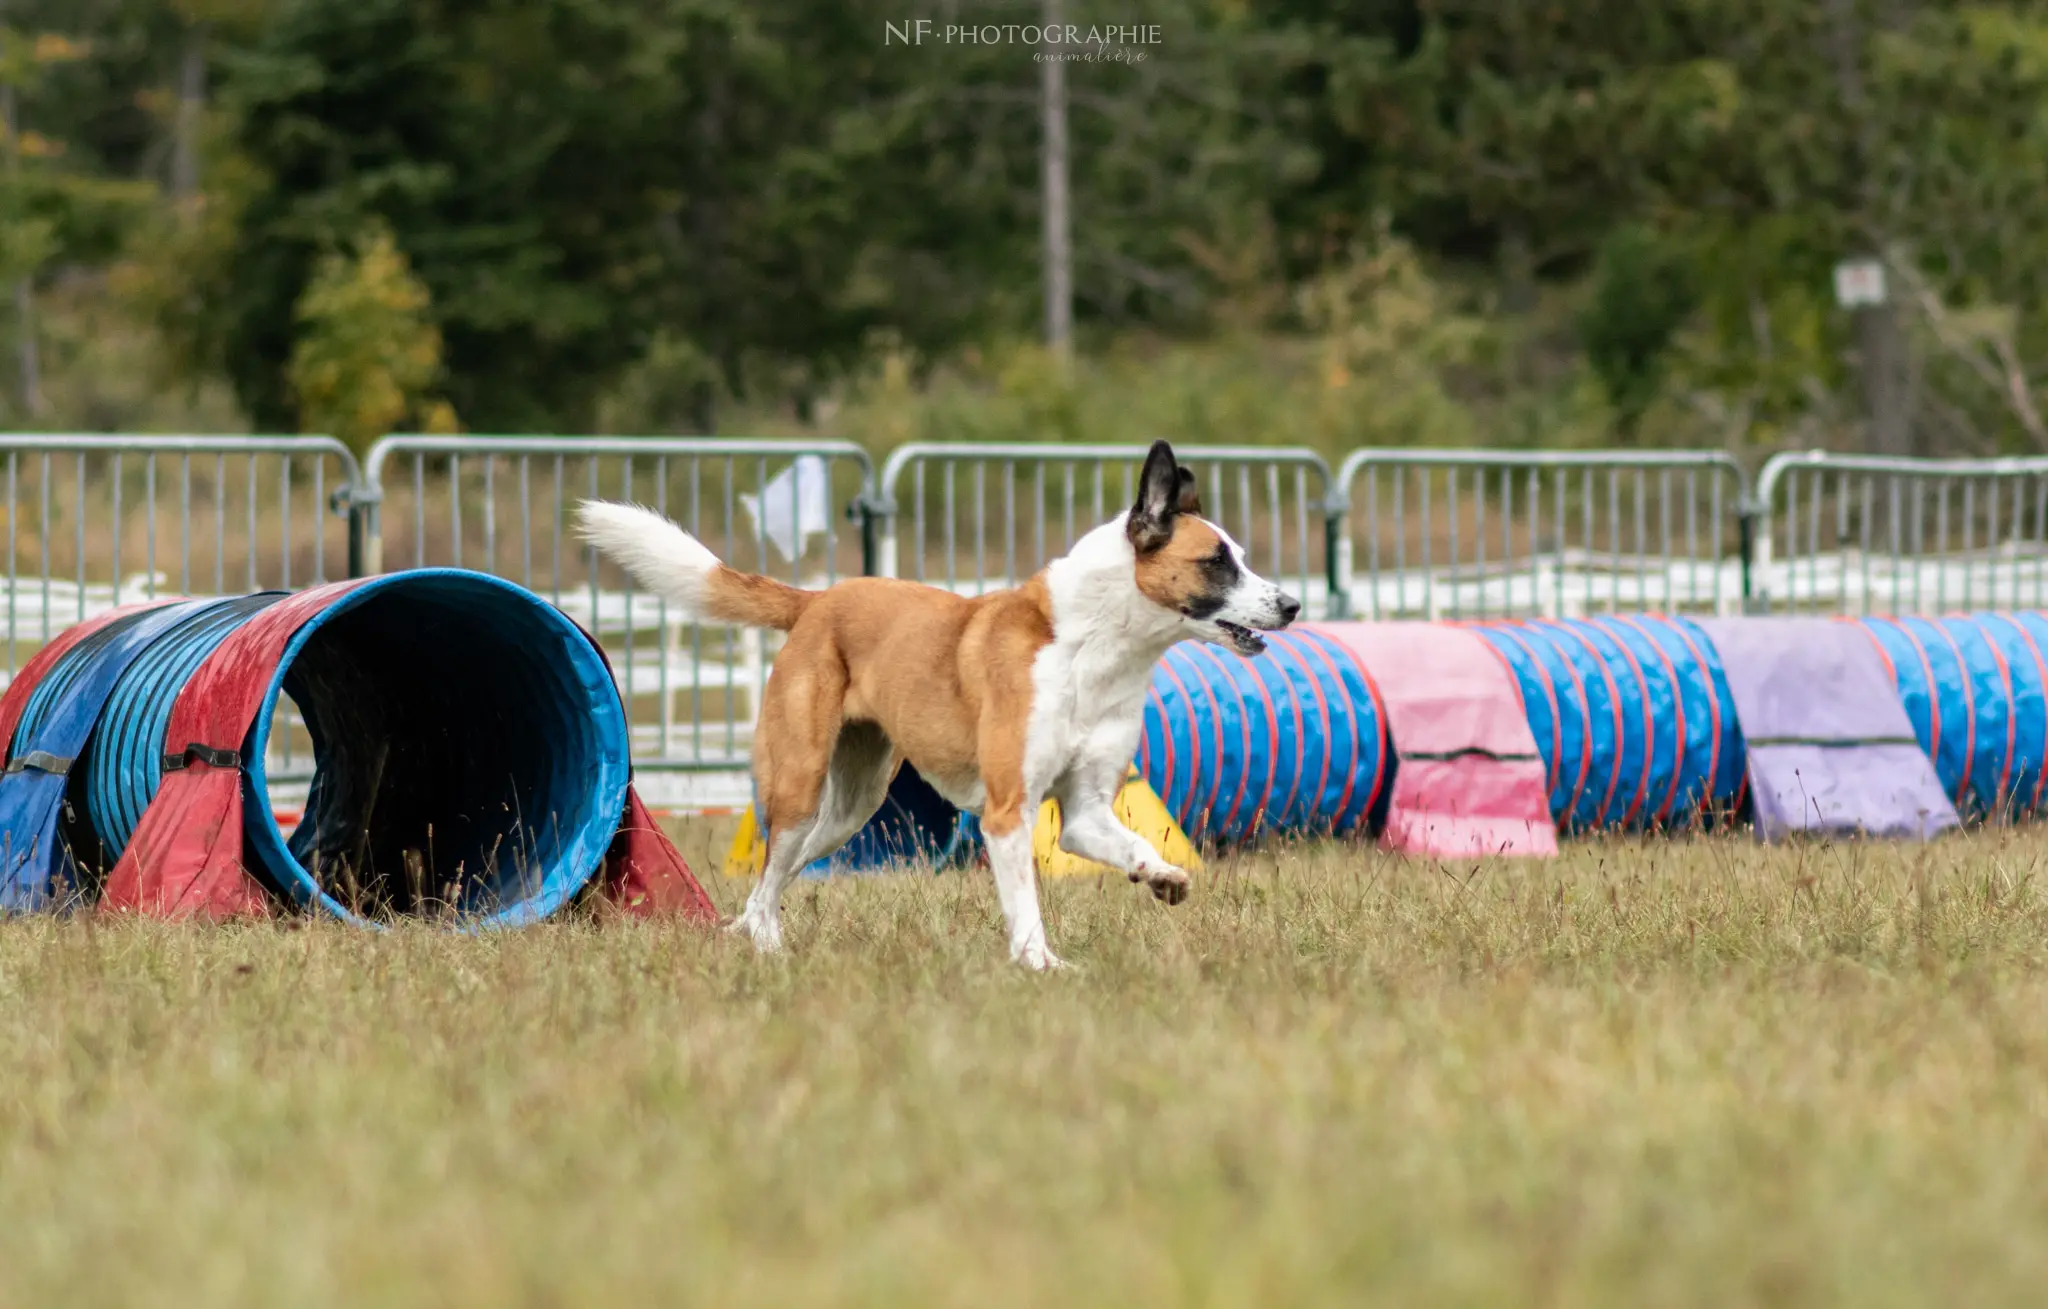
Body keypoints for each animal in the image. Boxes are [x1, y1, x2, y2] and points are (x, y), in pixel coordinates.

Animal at [573, 446, 1294, 966]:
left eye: (1239, 557)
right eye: (1216, 561)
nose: (1291, 604)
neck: (1094, 645)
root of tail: (819, 600)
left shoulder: (1088, 813)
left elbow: (1132, 840)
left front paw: (1162, 875)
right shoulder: (1007, 813)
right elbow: (1025, 905)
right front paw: (1042, 966)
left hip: (848, 811)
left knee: (772, 883)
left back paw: (752, 935)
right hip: (800, 786)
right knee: (770, 875)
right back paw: (769, 950)